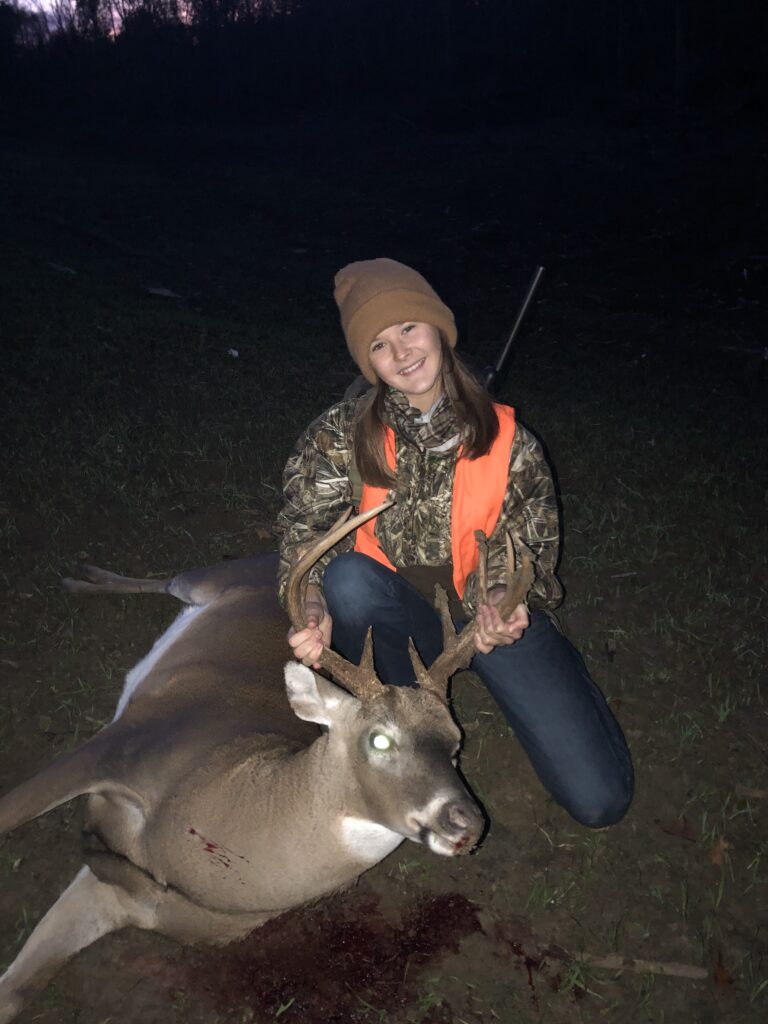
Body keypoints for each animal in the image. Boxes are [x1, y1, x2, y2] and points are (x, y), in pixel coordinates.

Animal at [0, 500, 533, 1024]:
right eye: (380, 740)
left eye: (455, 744)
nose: (466, 822)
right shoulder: (131, 742)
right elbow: (12, 810)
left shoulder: (127, 895)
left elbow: (14, 993)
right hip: (219, 576)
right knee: (173, 578)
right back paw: (80, 576)